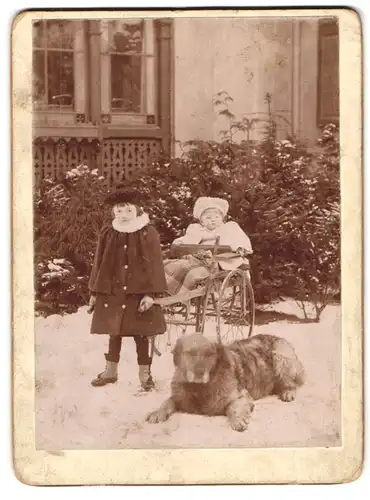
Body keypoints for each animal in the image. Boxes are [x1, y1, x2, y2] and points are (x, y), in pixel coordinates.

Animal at [146, 332, 304, 430]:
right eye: (190, 353)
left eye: (209, 354)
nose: (199, 372)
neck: (200, 389)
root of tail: (277, 337)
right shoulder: (179, 396)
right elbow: (167, 402)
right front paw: (157, 412)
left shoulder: (242, 396)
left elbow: (233, 407)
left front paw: (238, 419)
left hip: (281, 357)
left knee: (290, 383)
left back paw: (287, 392)